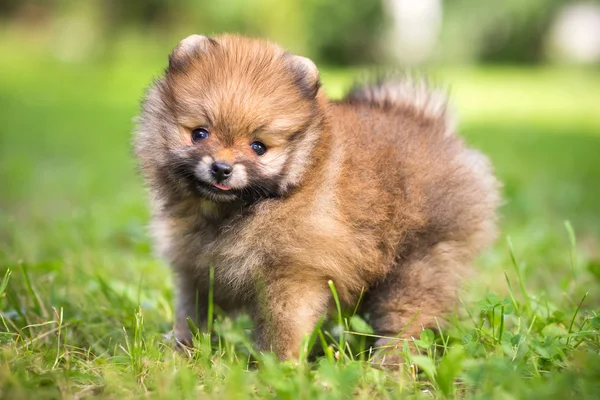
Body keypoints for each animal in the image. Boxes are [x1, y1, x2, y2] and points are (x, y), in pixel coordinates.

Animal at [134, 33, 500, 360]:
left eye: (258, 147)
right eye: (199, 134)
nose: (221, 168)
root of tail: (433, 125)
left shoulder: (293, 275)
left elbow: (284, 328)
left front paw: (277, 368)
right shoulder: (196, 270)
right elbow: (191, 315)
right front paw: (180, 352)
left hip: (421, 260)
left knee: (410, 320)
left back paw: (390, 365)